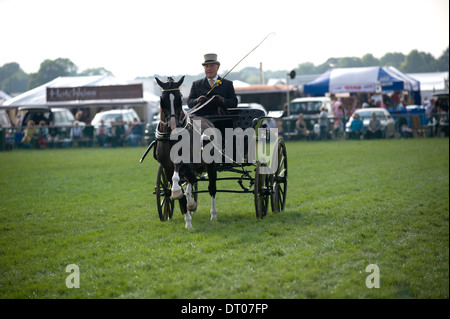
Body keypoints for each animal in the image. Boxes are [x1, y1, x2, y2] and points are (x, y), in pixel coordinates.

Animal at [155, 76, 218, 229]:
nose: (173, 126)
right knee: (191, 181)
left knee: (211, 188)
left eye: (180, 98)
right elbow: (178, 187)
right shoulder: (167, 167)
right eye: (162, 99)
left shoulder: (182, 163)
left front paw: (182, 198)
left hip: (211, 165)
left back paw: (213, 214)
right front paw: (188, 220)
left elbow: (177, 182)